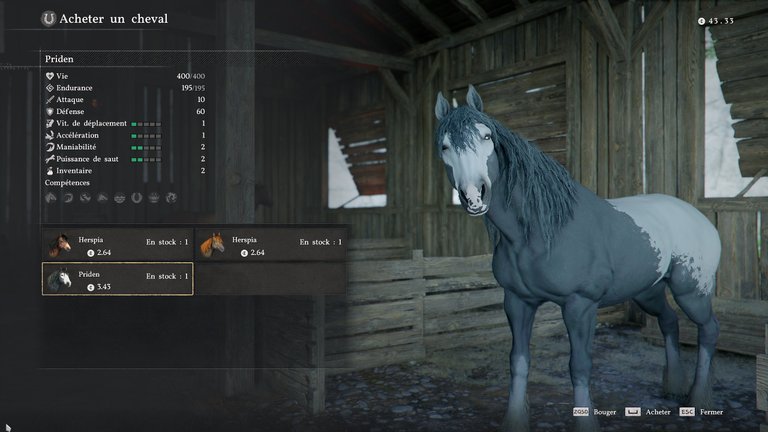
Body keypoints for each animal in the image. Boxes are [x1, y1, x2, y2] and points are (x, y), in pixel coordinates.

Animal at [434, 86, 721, 432]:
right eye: (445, 146)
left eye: (487, 136)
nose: (475, 195)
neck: (541, 232)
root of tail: (699, 218)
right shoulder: (517, 302)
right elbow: (518, 361)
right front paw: (514, 419)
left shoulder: (580, 305)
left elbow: (579, 366)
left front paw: (586, 422)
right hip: (647, 292)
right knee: (669, 322)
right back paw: (674, 387)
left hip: (692, 292)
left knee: (708, 330)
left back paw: (698, 398)